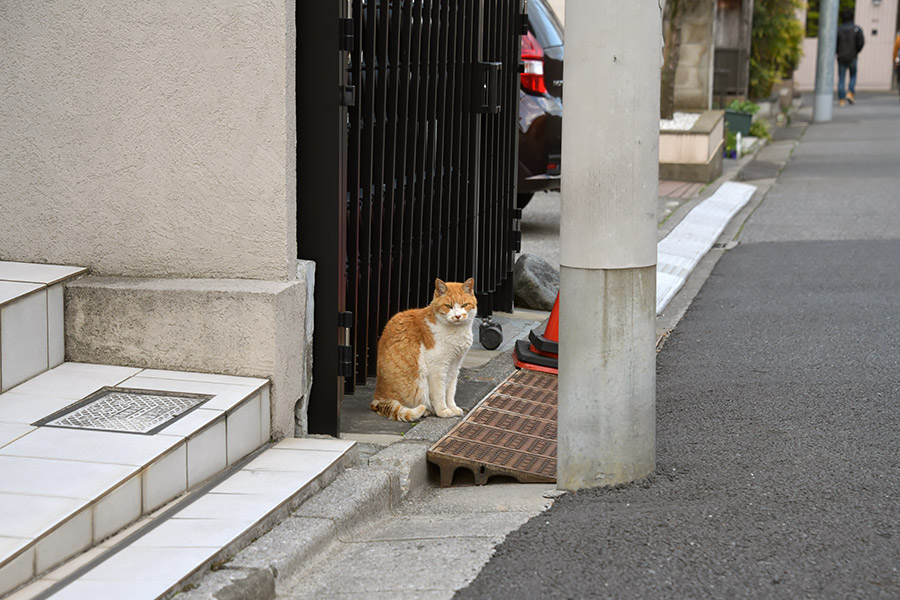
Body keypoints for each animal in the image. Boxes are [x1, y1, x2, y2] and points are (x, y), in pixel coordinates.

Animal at [370, 278, 478, 422]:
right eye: (448, 306)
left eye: (464, 305)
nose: (458, 316)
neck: (455, 332)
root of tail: (377, 398)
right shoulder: (437, 368)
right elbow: (439, 393)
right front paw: (443, 411)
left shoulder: (454, 366)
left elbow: (450, 390)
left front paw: (452, 407)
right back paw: (426, 410)